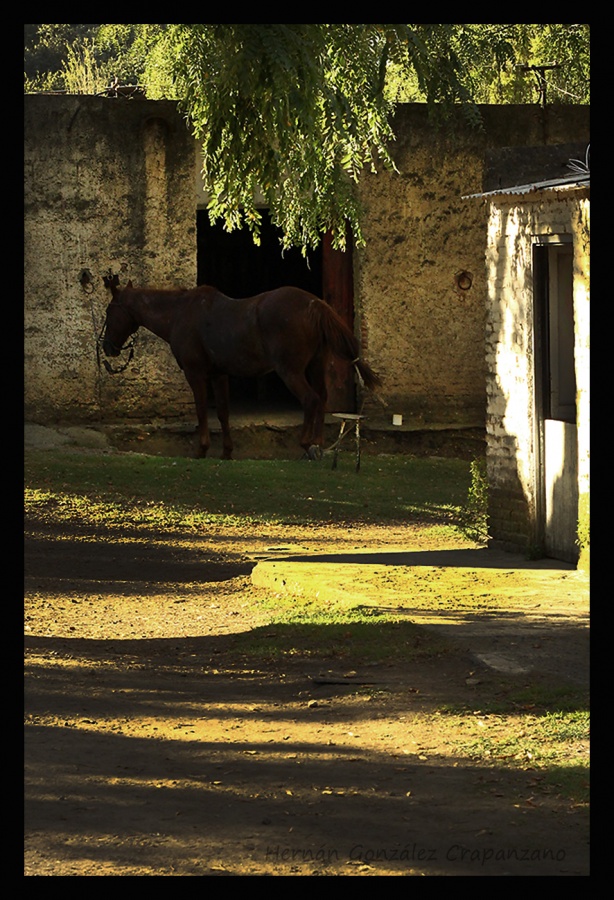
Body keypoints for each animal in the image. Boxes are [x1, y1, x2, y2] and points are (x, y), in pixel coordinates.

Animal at [100, 272, 380, 458]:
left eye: (109, 312)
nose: (107, 347)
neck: (180, 313)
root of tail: (314, 304)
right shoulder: (219, 374)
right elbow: (223, 412)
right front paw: (227, 451)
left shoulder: (195, 373)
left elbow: (201, 410)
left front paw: (201, 449)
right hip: (316, 366)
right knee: (321, 398)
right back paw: (319, 444)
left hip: (291, 371)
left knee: (310, 399)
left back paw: (306, 444)